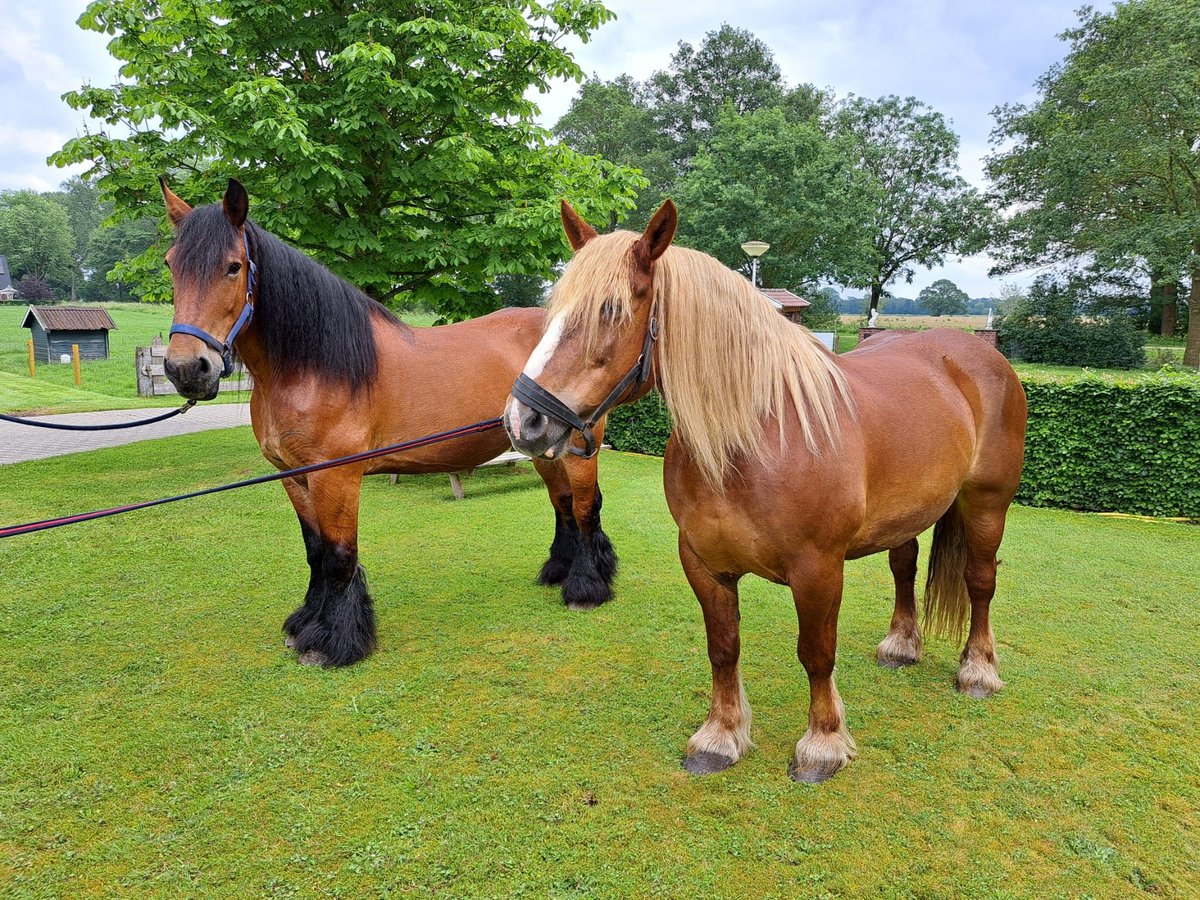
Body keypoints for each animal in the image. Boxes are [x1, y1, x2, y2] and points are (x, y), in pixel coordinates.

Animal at [159, 177, 619, 672]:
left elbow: (339, 554)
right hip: (543, 446)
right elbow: (315, 550)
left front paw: (335, 640)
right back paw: (558, 573)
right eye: (170, 265)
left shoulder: (336, 476)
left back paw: (587, 587)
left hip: (579, 448)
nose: (187, 369)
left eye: (233, 267)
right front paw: (306, 622)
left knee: (585, 507)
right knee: (563, 504)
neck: (313, 367)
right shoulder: (294, 476)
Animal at [501, 202, 1027, 782]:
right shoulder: (704, 564)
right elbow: (723, 648)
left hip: (987, 505)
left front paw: (823, 743)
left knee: (980, 582)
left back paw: (978, 670)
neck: (758, 438)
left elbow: (817, 653)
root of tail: (975, 353)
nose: (523, 421)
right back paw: (901, 645)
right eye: (552, 312)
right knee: (904, 566)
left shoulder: (818, 570)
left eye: (611, 311)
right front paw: (720, 737)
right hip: (905, 516)